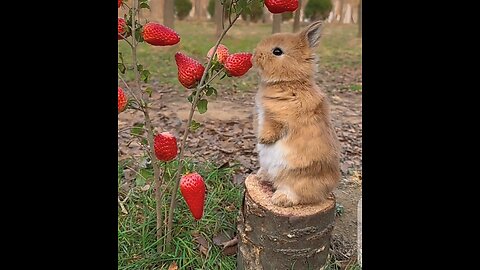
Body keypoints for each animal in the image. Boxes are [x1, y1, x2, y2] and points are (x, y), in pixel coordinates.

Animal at [251, 21, 342, 208]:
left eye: (277, 51)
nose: (254, 55)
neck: (289, 82)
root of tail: (327, 190)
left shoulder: (278, 118)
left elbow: (272, 128)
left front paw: (262, 139)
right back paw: (261, 175)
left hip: (296, 177)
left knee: (299, 195)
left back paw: (280, 199)